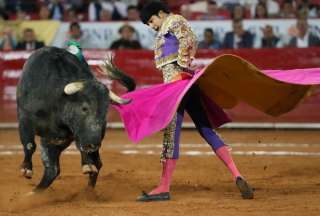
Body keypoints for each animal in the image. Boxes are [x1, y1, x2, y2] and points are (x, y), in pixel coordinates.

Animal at [16, 46, 136, 192]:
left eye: (105, 110)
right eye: (84, 108)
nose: (93, 144)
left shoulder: (67, 136)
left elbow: (80, 148)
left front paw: (87, 165)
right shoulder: (25, 119)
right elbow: (29, 145)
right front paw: (26, 169)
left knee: (89, 161)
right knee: (53, 168)